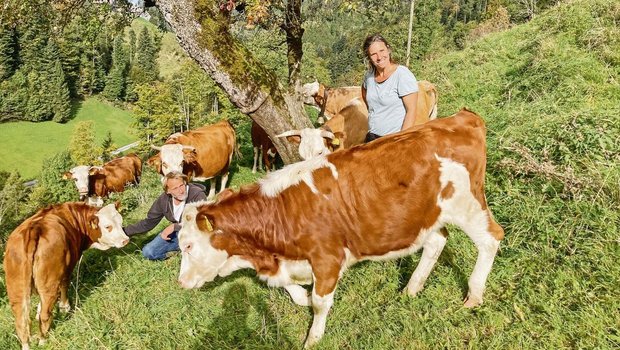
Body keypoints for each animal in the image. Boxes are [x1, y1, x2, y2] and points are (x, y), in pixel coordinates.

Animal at [3, 202, 130, 350]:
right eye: (107, 226)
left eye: (120, 221)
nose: (126, 240)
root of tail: (33, 228)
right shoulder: (68, 266)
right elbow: (64, 284)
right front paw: (65, 307)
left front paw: (38, 311)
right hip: (50, 284)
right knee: (45, 314)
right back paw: (43, 340)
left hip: (17, 290)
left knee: (21, 321)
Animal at [174, 108, 504, 348]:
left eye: (188, 246)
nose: (180, 283)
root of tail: (461, 117)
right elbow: (290, 289)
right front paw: (302, 298)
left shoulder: (327, 257)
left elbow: (320, 303)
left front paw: (312, 338)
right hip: (427, 214)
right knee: (437, 242)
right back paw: (411, 288)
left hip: (466, 203)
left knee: (490, 238)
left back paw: (473, 296)